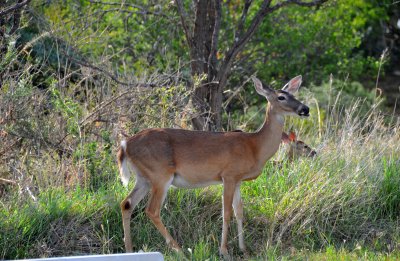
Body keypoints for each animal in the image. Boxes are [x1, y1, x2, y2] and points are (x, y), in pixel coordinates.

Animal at [115, 74, 310, 256]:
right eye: (281, 97)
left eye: (294, 94)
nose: (305, 109)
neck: (255, 147)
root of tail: (125, 144)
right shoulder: (228, 175)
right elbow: (227, 212)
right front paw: (224, 251)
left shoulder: (238, 180)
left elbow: (239, 211)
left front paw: (243, 249)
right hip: (160, 175)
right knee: (151, 210)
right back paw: (179, 250)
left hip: (144, 177)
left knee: (127, 203)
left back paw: (129, 249)